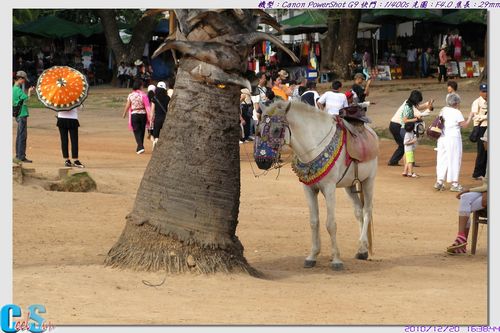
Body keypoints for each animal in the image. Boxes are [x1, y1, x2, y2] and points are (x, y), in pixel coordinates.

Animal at [254, 101, 378, 270]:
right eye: (258, 130)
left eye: (276, 130)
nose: (261, 162)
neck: (314, 147)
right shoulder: (309, 189)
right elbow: (314, 222)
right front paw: (312, 256)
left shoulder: (329, 188)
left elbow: (331, 224)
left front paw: (336, 260)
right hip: (350, 185)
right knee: (358, 211)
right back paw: (362, 250)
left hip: (368, 181)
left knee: (367, 210)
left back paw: (363, 244)